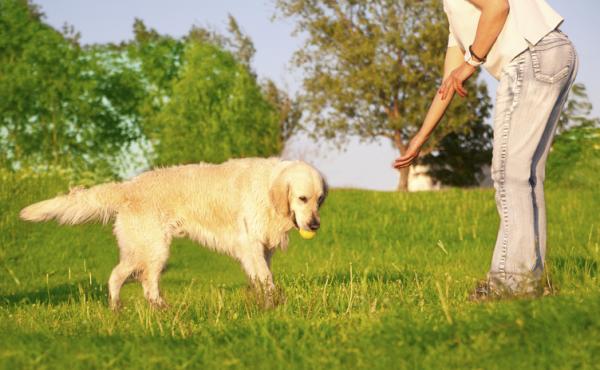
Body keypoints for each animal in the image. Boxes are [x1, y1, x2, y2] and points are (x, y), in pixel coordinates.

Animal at [19, 158, 328, 308]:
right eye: (302, 198)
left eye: (319, 199)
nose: (314, 226)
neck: (267, 189)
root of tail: (128, 186)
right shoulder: (250, 244)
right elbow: (265, 278)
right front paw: (276, 302)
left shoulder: (263, 248)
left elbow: (262, 277)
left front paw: (265, 302)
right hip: (154, 249)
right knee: (142, 282)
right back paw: (155, 308)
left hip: (141, 250)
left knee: (120, 277)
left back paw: (120, 309)